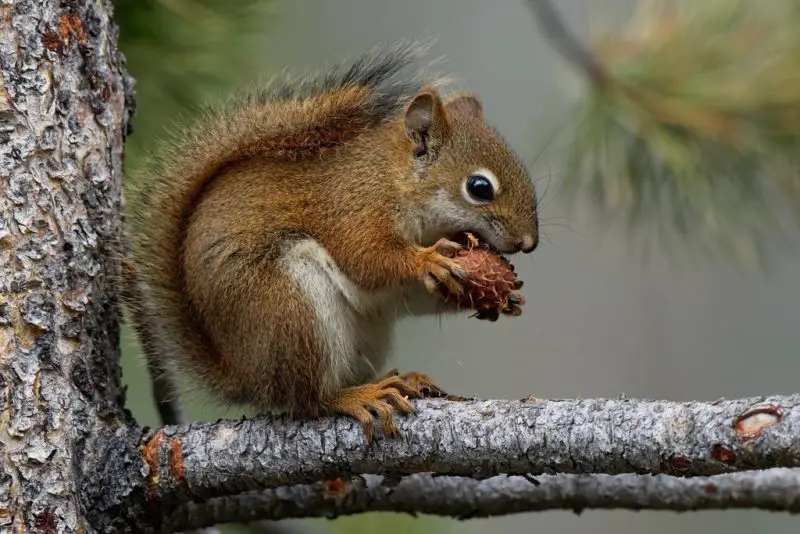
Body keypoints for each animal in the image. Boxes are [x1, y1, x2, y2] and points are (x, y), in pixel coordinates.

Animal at [124, 42, 539, 440]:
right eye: (479, 187)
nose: (528, 243)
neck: (392, 178)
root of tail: (245, 375)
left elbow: (410, 294)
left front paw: (509, 298)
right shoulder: (352, 210)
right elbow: (366, 259)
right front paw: (426, 261)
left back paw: (401, 381)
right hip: (288, 310)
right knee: (308, 400)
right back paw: (355, 396)